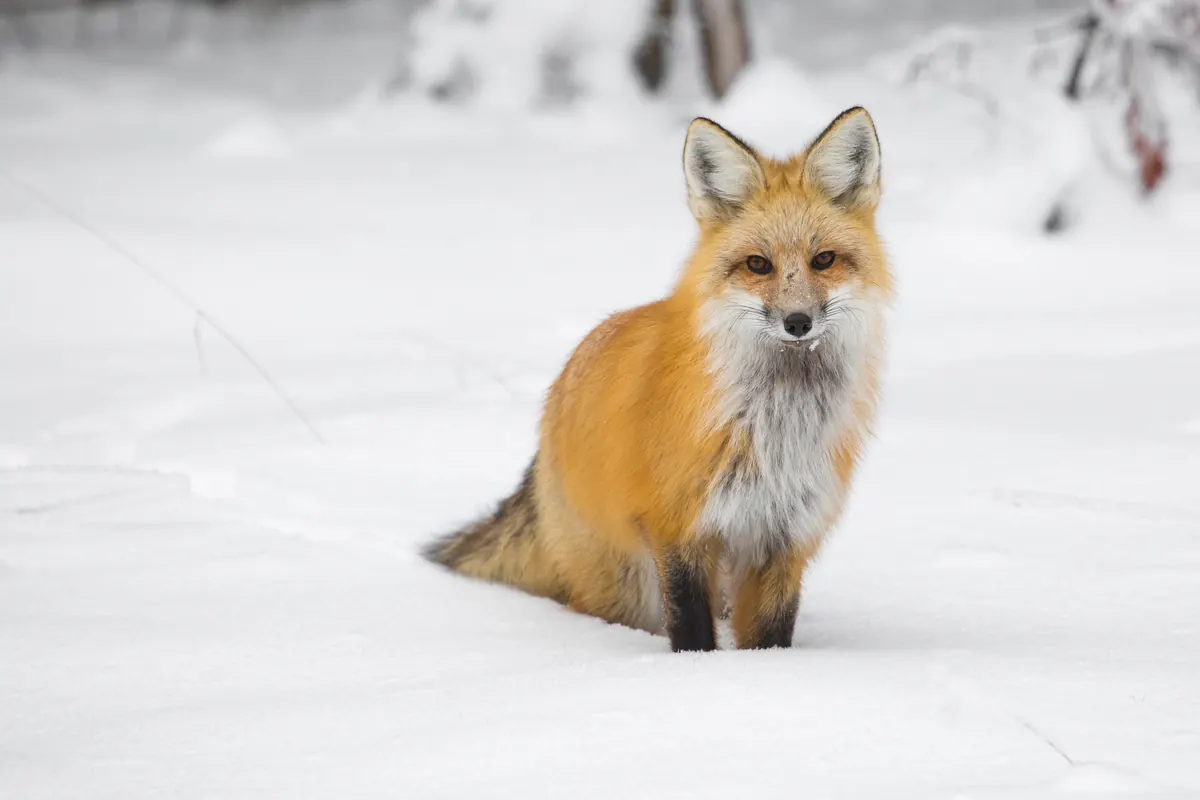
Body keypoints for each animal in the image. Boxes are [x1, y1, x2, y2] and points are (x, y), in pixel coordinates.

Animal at [425, 107, 892, 652]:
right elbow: (691, 628)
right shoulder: (676, 528)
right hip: (623, 586)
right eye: (758, 264)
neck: (775, 425)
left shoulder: (785, 535)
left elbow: (771, 634)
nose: (798, 322)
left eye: (824, 260)